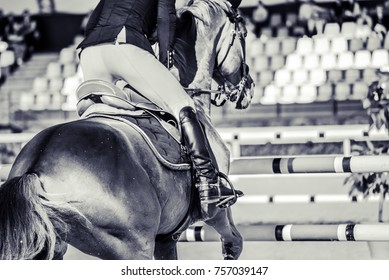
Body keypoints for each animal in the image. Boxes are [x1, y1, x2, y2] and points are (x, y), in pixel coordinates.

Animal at [0, 0, 253, 260]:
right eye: (243, 34)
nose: (249, 89)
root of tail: (35, 169)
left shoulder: (166, 237)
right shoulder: (217, 213)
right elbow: (234, 242)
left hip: (51, 247)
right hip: (133, 245)